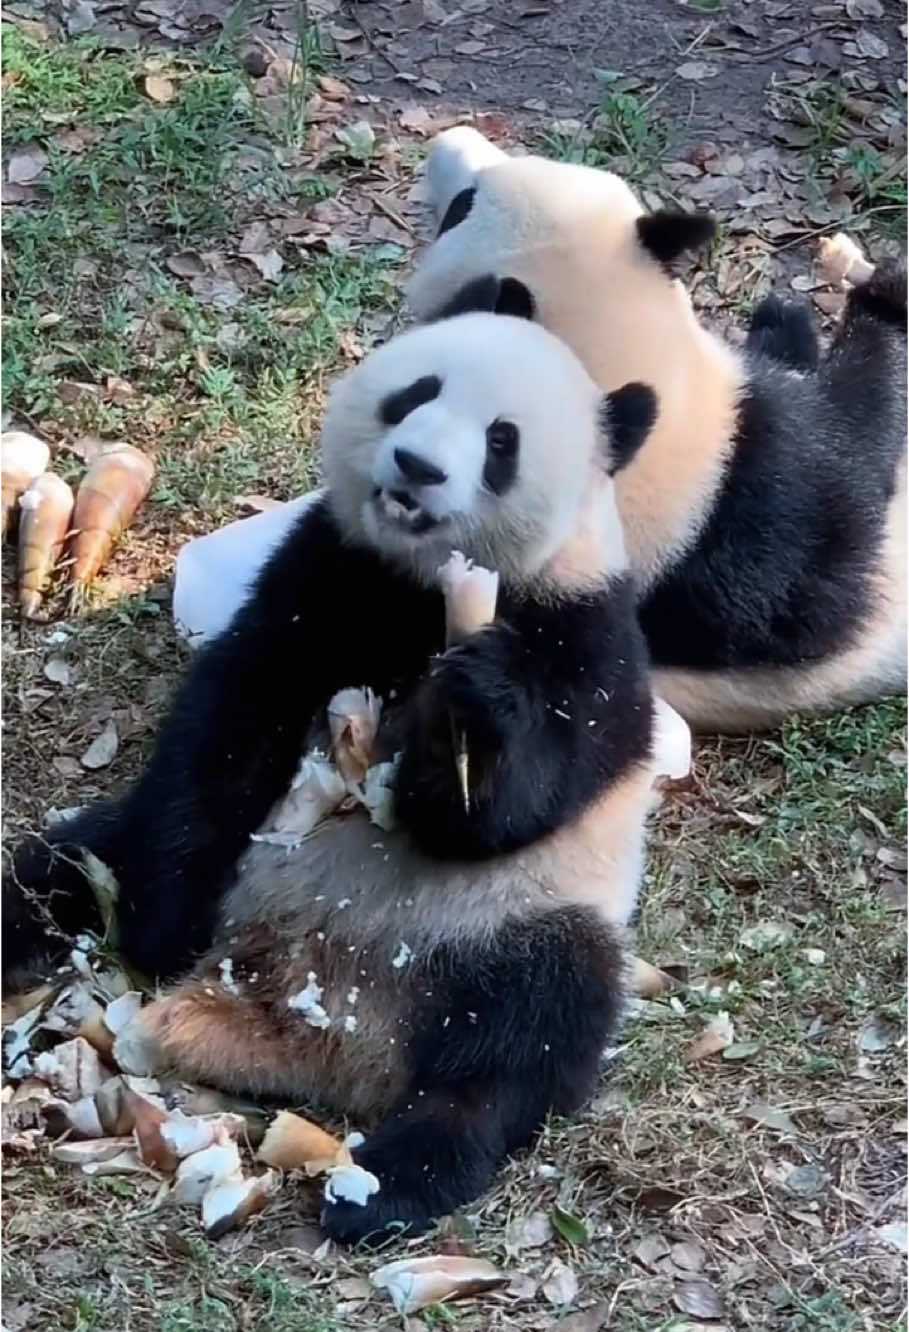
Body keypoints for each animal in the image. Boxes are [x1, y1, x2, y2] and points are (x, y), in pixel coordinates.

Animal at [4, 311, 661, 1244]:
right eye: (416, 392)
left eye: (502, 442)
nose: (416, 466)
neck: (425, 585)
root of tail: (322, 1040)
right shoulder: (328, 570)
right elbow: (233, 714)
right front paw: (159, 926)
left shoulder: (587, 628)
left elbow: (515, 798)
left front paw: (473, 706)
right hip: (158, 859)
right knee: (59, 871)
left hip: (519, 918)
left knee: (526, 1036)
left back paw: (387, 1183)